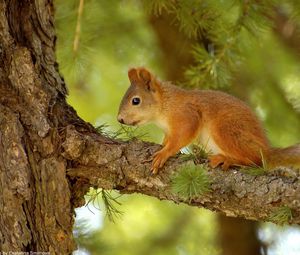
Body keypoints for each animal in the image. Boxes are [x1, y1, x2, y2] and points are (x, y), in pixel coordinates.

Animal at [116, 66, 300, 174]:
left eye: (136, 101)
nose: (120, 119)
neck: (165, 105)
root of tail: (266, 150)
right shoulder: (169, 130)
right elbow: (168, 139)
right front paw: (162, 146)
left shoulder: (187, 115)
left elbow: (181, 137)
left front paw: (163, 153)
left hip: (225, 130)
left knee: (256, 161)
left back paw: (227, 159)